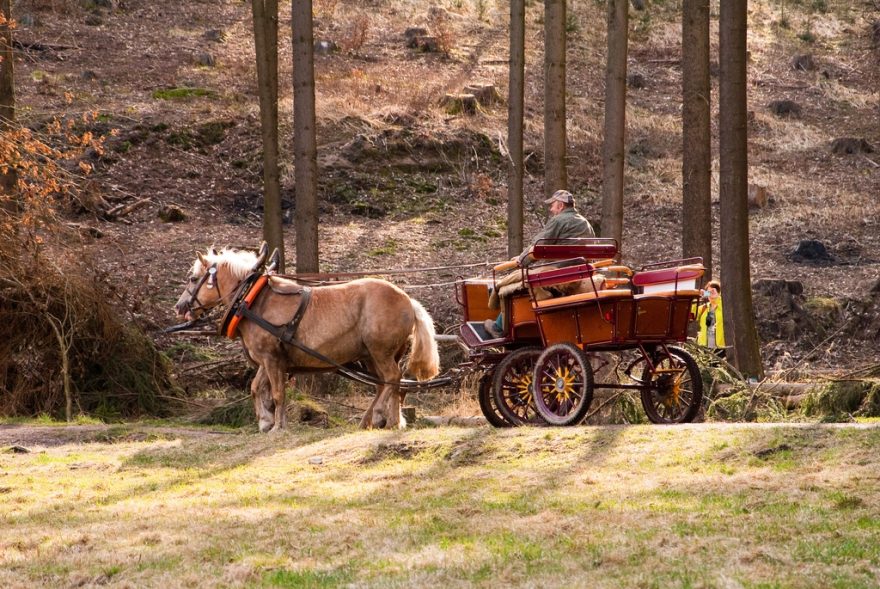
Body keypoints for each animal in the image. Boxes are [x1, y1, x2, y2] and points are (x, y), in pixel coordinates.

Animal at [174, 246, 440, 430]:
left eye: (192, 278)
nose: (179, 306)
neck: (252, 299)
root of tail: (408, 300)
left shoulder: (271, 359)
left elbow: (277, 393)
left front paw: (277, 426)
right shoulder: (268, 360)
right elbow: (256, 387)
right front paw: (265, 421)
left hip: (380, 351)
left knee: (392, 379)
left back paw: (378, 416)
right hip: (371, 356)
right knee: (387, 384)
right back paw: (386, 420)